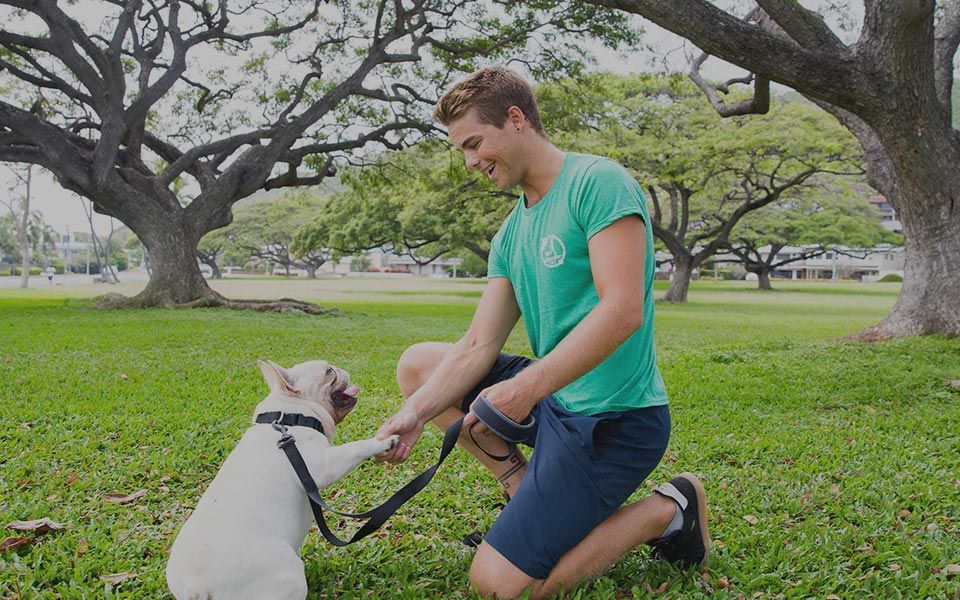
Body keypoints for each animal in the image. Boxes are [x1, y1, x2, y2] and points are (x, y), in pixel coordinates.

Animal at [167, 358, 400, 596]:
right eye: (328, 372)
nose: (340, 369)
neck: (290, 419)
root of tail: (196, 589)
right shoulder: (324, 466)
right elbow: (355, 447)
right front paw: (385, 441)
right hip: (288, 577)